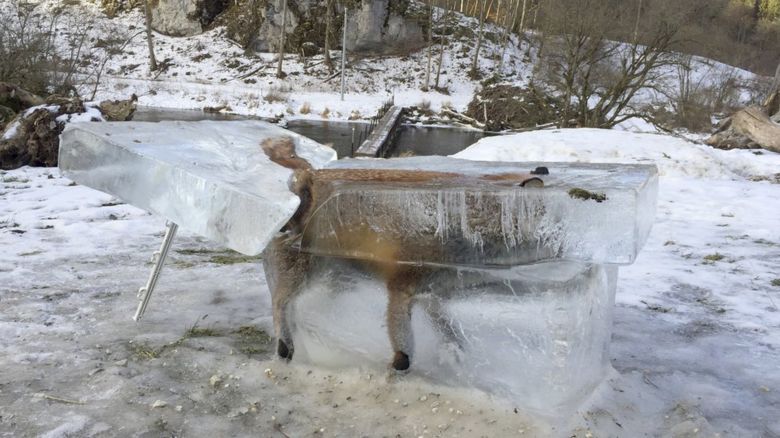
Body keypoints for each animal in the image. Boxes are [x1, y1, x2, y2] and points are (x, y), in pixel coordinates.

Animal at [261, 137, 544, 371]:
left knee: (304, 307)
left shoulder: (433, 293)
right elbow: (404, 345)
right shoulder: (402, 286)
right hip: (304, 273)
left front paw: (454, 352)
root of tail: (309, 174)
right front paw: (400, 367)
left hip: (337, 279)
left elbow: (449, 329)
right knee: (280, 302)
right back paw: (286, 345)